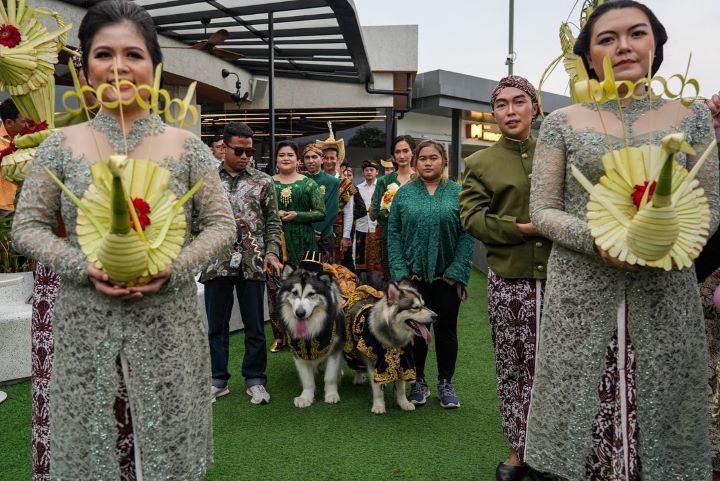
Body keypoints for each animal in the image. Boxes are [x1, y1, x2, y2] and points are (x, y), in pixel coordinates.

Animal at [278, 264, 344, 406]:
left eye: (311, 294)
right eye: (294, 293)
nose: (300, 313)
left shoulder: (335, 348)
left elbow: (330, 376)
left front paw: (331, 394)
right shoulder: (298, 352)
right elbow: (307, 379)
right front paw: (306, 397)